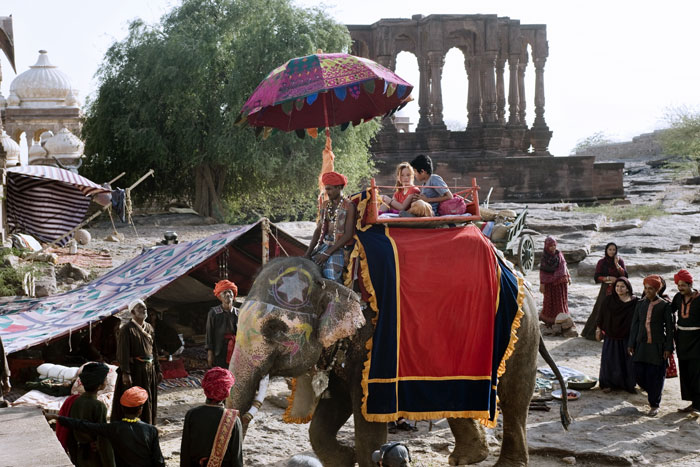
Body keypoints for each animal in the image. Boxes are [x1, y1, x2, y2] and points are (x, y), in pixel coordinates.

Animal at [230, 258, 568, 466]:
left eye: (275, 328)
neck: (331, 276)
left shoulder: (371, 341)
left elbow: (364, 410)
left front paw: (363, 456)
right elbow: (329, 412)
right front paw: (346, 458)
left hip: (520, 331)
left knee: (514, 396)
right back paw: (468, 458)